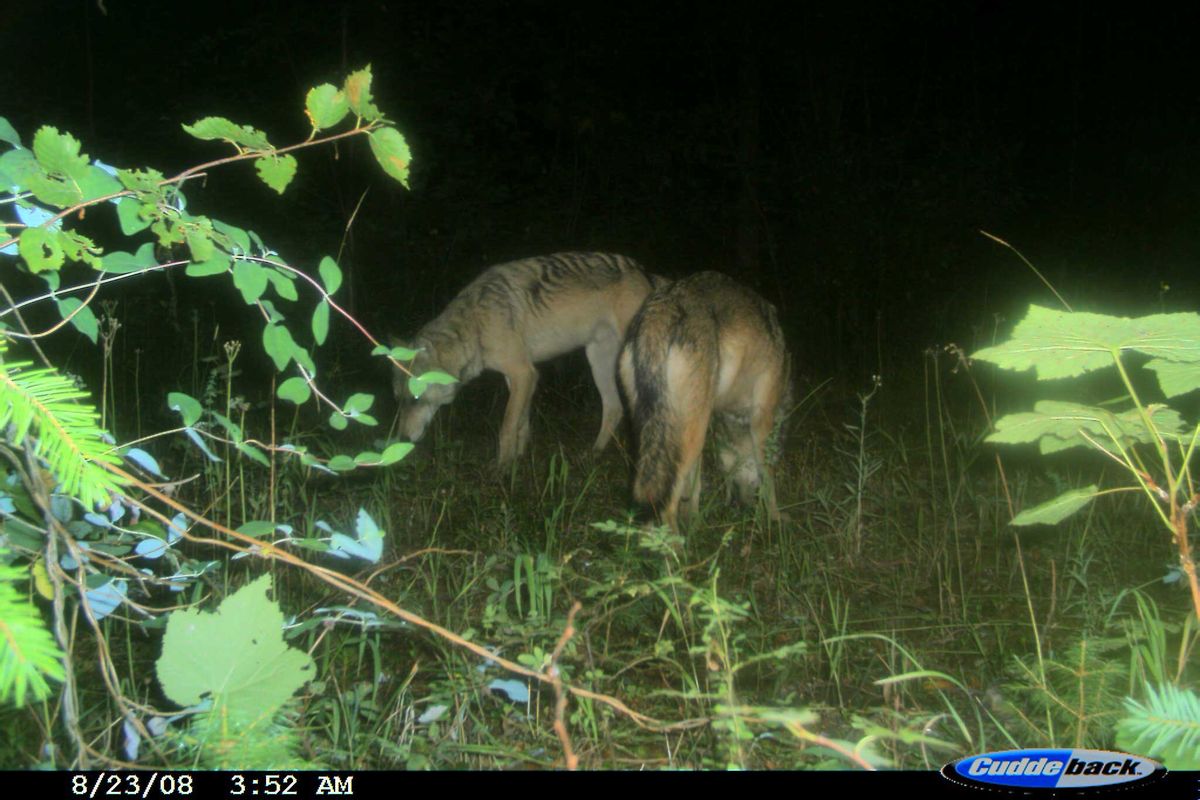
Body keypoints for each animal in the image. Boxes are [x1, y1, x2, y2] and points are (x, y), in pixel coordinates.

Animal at [393, 250, 662, 465]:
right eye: (400, 401)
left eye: (415, 400)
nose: (401, 438)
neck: (475, 325)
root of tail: (643, 271)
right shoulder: (519, 377)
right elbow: (522, 423)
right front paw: (518, 458)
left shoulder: (523, 373)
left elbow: (506, 427)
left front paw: (501, 471)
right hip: (597, 361)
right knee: (614, 407)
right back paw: (593, 453)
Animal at [619, 272, 787, 534]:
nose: (739, 507)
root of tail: (661, 310)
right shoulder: (762, 419)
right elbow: (767, 477)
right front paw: (776, 520)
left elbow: (695, 486)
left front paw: (696, 522)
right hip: (688, 435)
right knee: (666, 506)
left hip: (657, 434)